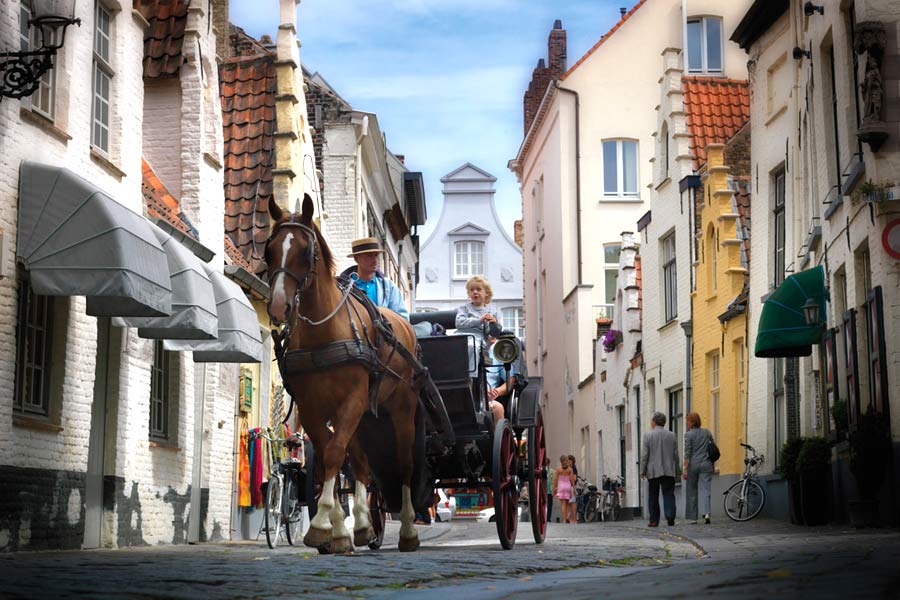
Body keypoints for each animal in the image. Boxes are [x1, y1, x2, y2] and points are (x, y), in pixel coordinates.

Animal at [266, 196, 424, 552]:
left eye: (306, 252)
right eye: (269, 250)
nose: (279, 307)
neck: (323, 333)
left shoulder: (350, 402)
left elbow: (336, 452)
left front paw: (321, 524)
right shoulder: (313, 408)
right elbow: (330, 457)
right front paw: (336, 531)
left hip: (402, 408)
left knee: (405, 464)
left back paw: (408, 531)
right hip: (365, 417)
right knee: (362, 464)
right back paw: (364, 526)